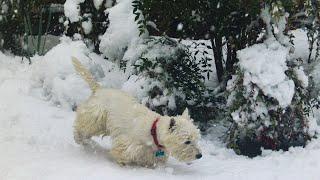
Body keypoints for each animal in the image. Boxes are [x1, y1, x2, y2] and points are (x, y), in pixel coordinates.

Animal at [72, 57, 202, 167]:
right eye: (187, 141)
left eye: (197, 139)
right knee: (81, 126)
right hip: (95, 116)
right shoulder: (130, 144)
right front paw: (121, 163)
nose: (199, 155)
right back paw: (79, 139)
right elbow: (121, 153)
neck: (153, 131)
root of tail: (99, 89)